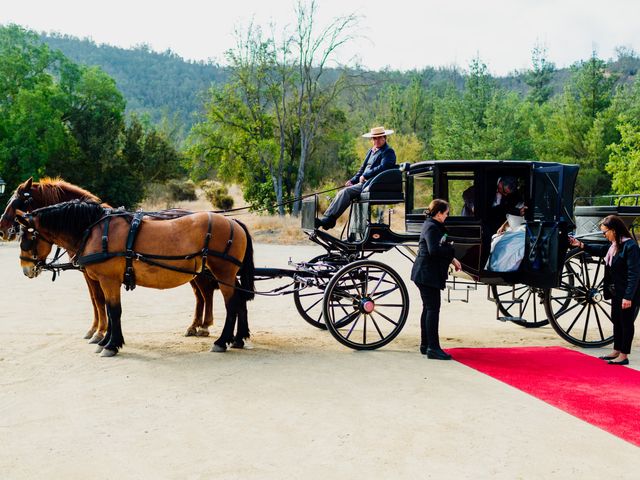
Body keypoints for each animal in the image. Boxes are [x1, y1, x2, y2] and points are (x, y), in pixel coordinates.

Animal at [0, 178, 220, 340]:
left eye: (17, 201)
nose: (2, 228)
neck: (89, 226)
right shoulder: (90, 274)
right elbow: (95, 299)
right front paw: (96, 330)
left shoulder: (96, 274)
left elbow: (98, 299)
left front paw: (99, 332)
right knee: (200, 295)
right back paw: (196, 325)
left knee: (206, 292)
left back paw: (203, 326)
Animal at [16, 199, 255, 356]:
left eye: (26, 239)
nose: (26, 270)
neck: (95, 229)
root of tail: (234, 222)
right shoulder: (106, 281)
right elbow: (108, 310)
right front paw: (105, 340)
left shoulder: (108, 280)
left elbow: (113, 311)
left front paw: (111, 345)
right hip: (225, 274)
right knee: (239, 301)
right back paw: (238, 339)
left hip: (222, 272)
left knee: (232, 304)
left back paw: (222, 341)